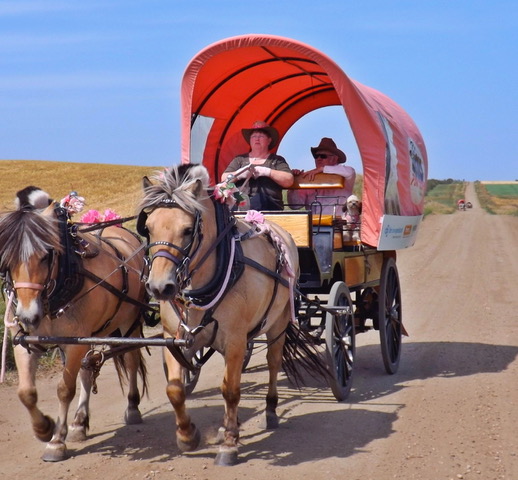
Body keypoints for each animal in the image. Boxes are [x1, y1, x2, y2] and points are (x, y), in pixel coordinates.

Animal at [0, 188, 150, 462]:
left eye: (47, 255)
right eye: (6, 258)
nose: (28, 316)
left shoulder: (74, 343)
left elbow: (64, 389)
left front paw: (56, 441)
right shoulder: (26, 342)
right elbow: (26, 392)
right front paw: (44, 428)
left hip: (128, 323)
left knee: (131, 360)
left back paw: (133, 407)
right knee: (88, 369)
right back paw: (80, 422)